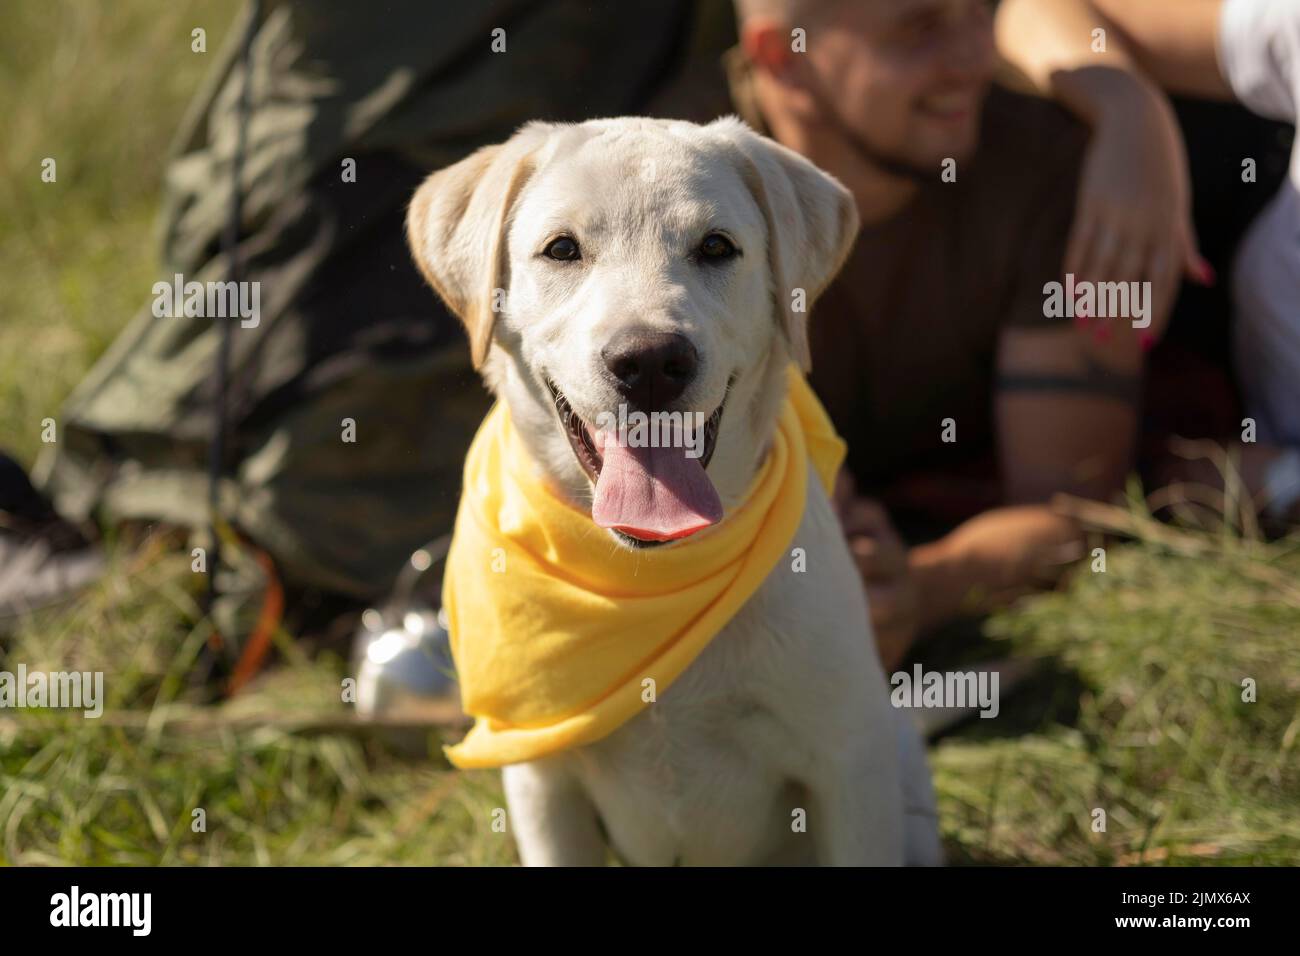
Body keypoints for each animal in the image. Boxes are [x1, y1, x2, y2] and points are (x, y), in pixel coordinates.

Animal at [403, 113, 935, 868]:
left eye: (716, 247)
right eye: (561, 249)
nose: (650, 361)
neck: (650, 569)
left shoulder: (849, 768)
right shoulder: (542, 785)